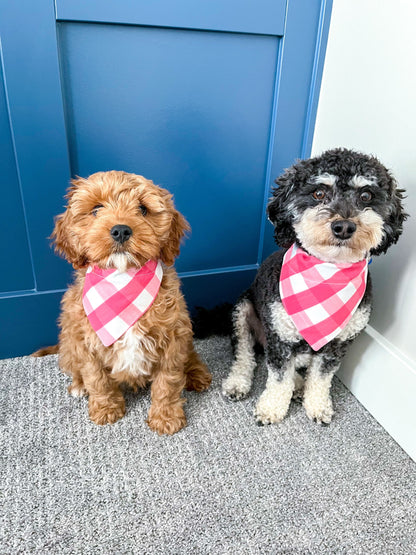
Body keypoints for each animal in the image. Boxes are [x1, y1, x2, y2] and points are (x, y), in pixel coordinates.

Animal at [223, 148, 404, 426]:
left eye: (366, 196)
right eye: (319, 193)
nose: (344, 226)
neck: (327, 273)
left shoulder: (337, 344)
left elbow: (320, 378)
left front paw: (317, 406)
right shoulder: (280, 337)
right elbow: (279, 379)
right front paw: (272, 408)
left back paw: (299, 386)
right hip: (242, 313)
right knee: (245, 355)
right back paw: (238, 382)